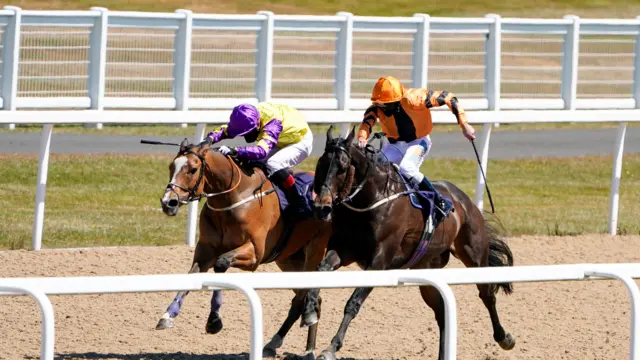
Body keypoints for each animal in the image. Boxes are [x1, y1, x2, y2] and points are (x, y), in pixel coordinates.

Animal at [158, 136, 332, 358]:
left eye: (193, 169)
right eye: (171, 167)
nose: (168, 203)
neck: (234, 198)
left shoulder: (254, 254)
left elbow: (221, 264)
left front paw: (214, 321)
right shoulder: (205, 250)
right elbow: (192, 276)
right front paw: (168, 315)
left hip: (315, 251)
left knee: (305, 298)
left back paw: (302, 346)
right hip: (288, 259)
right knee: (312, 298)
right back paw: (291, 345)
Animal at [298, 126, 516, 360]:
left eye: (342, 167)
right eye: (321, 164)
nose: (322, 207)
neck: (371, 199)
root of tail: (465, 201)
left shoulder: (379, 261)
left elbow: (353, 302)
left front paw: (331, 347)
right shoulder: (344, 249)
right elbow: (321, 269)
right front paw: (309, 312)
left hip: (474, 255)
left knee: (487, 296)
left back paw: (504, 338)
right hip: (426, 268)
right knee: (442, 313)